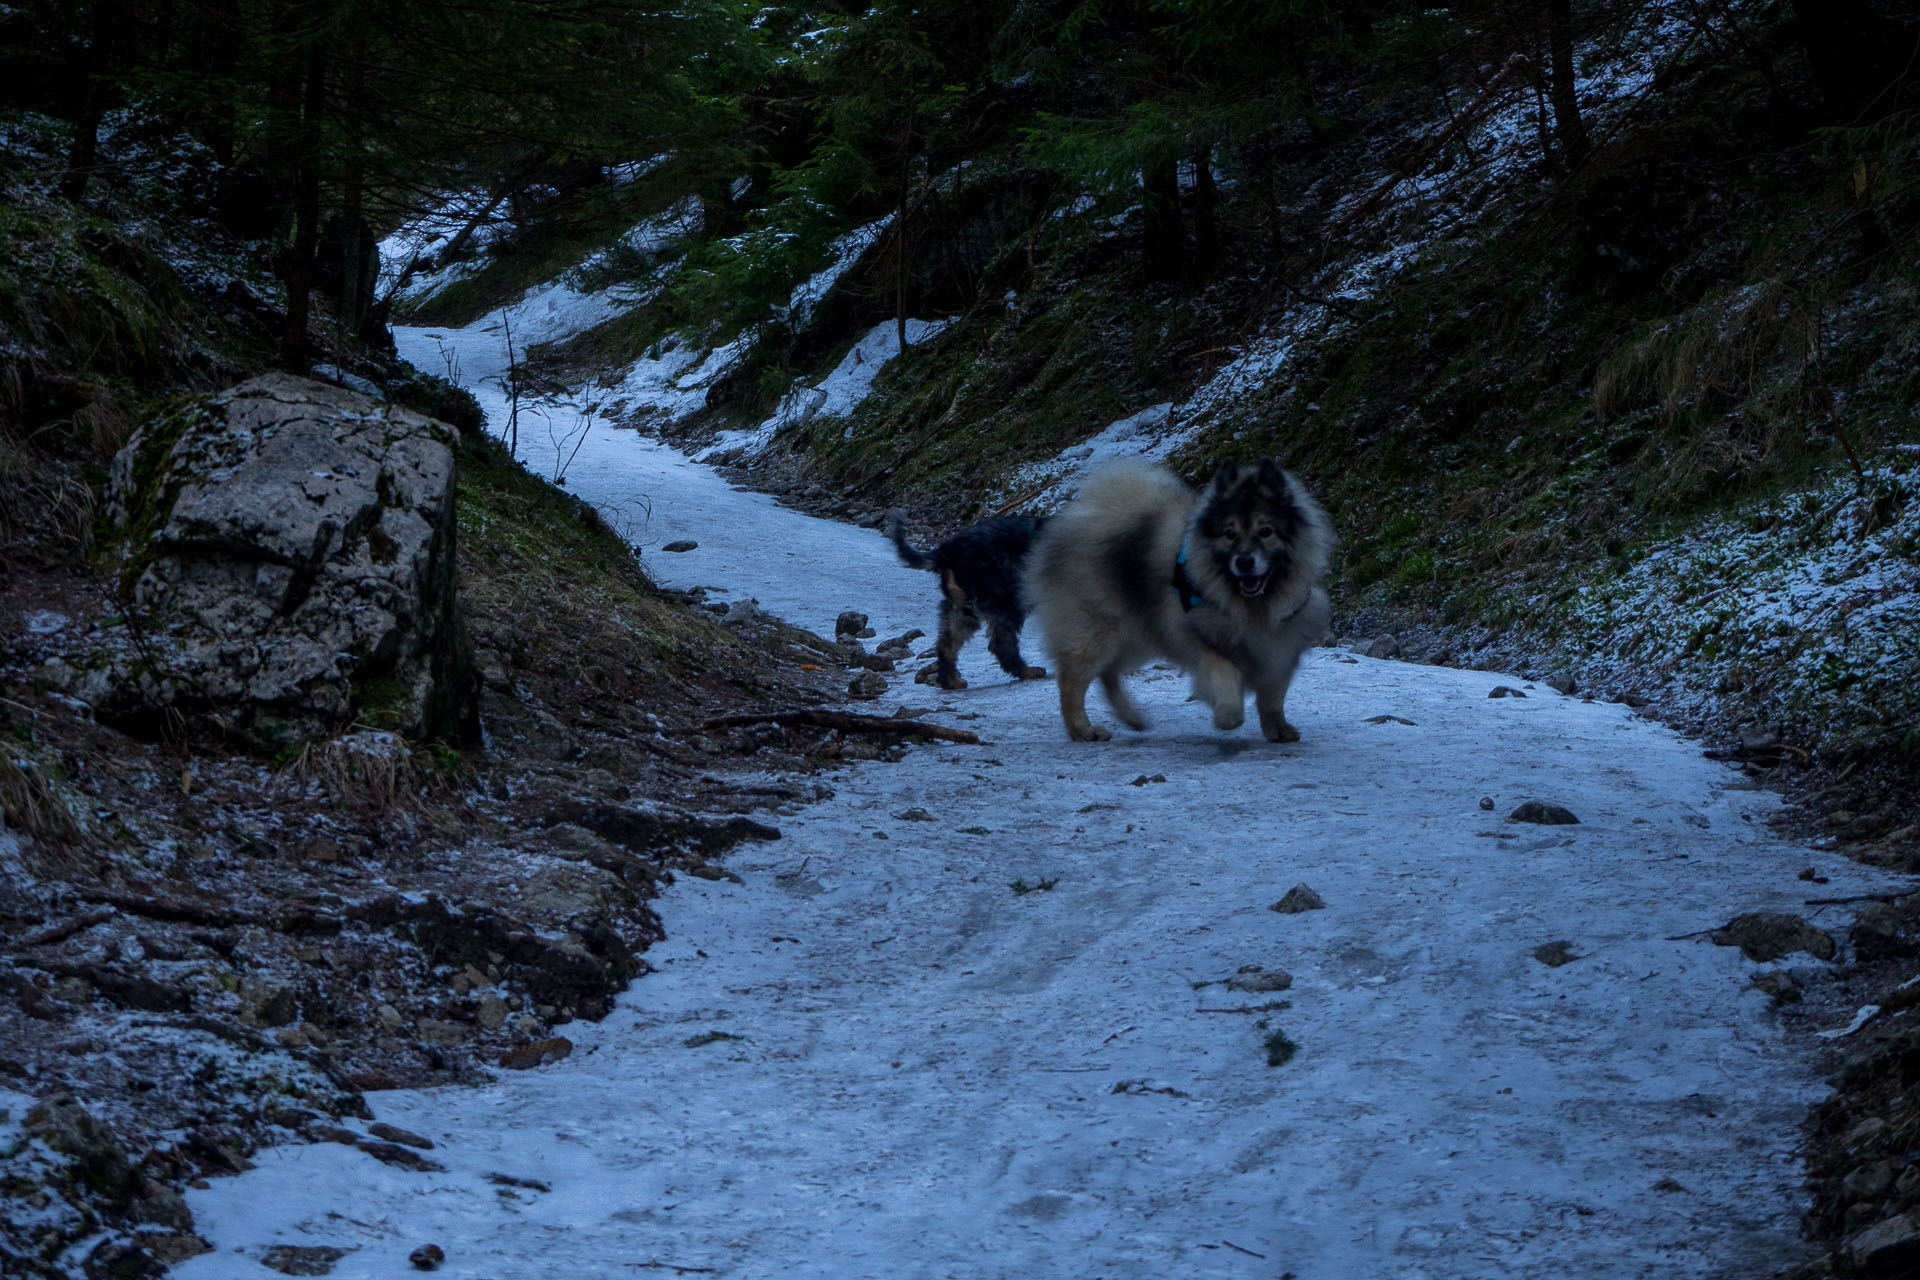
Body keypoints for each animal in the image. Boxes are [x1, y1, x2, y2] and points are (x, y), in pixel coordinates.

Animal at [883, 510, 1052, 690]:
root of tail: (947, 551)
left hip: (962, 605)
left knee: (947, 643)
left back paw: (950, 681)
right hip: (1005, 600)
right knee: (1001, 643)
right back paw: (1028, 672)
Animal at [1029, 458, 1328, 740]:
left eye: (1265, 531)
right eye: (1229, 534)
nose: (1244, 562)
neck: (1253, 604)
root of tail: (1078, 517)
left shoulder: (1280, 645)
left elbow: (1273, 696)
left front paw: (1277, 727)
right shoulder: (1204, 635)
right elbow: (1225, 679)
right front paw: (1227, 716)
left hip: (1137, 636)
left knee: (1108, 673)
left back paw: (1131, 718)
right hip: (1095, 633)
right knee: (1072, 681)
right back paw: (1081, 729)